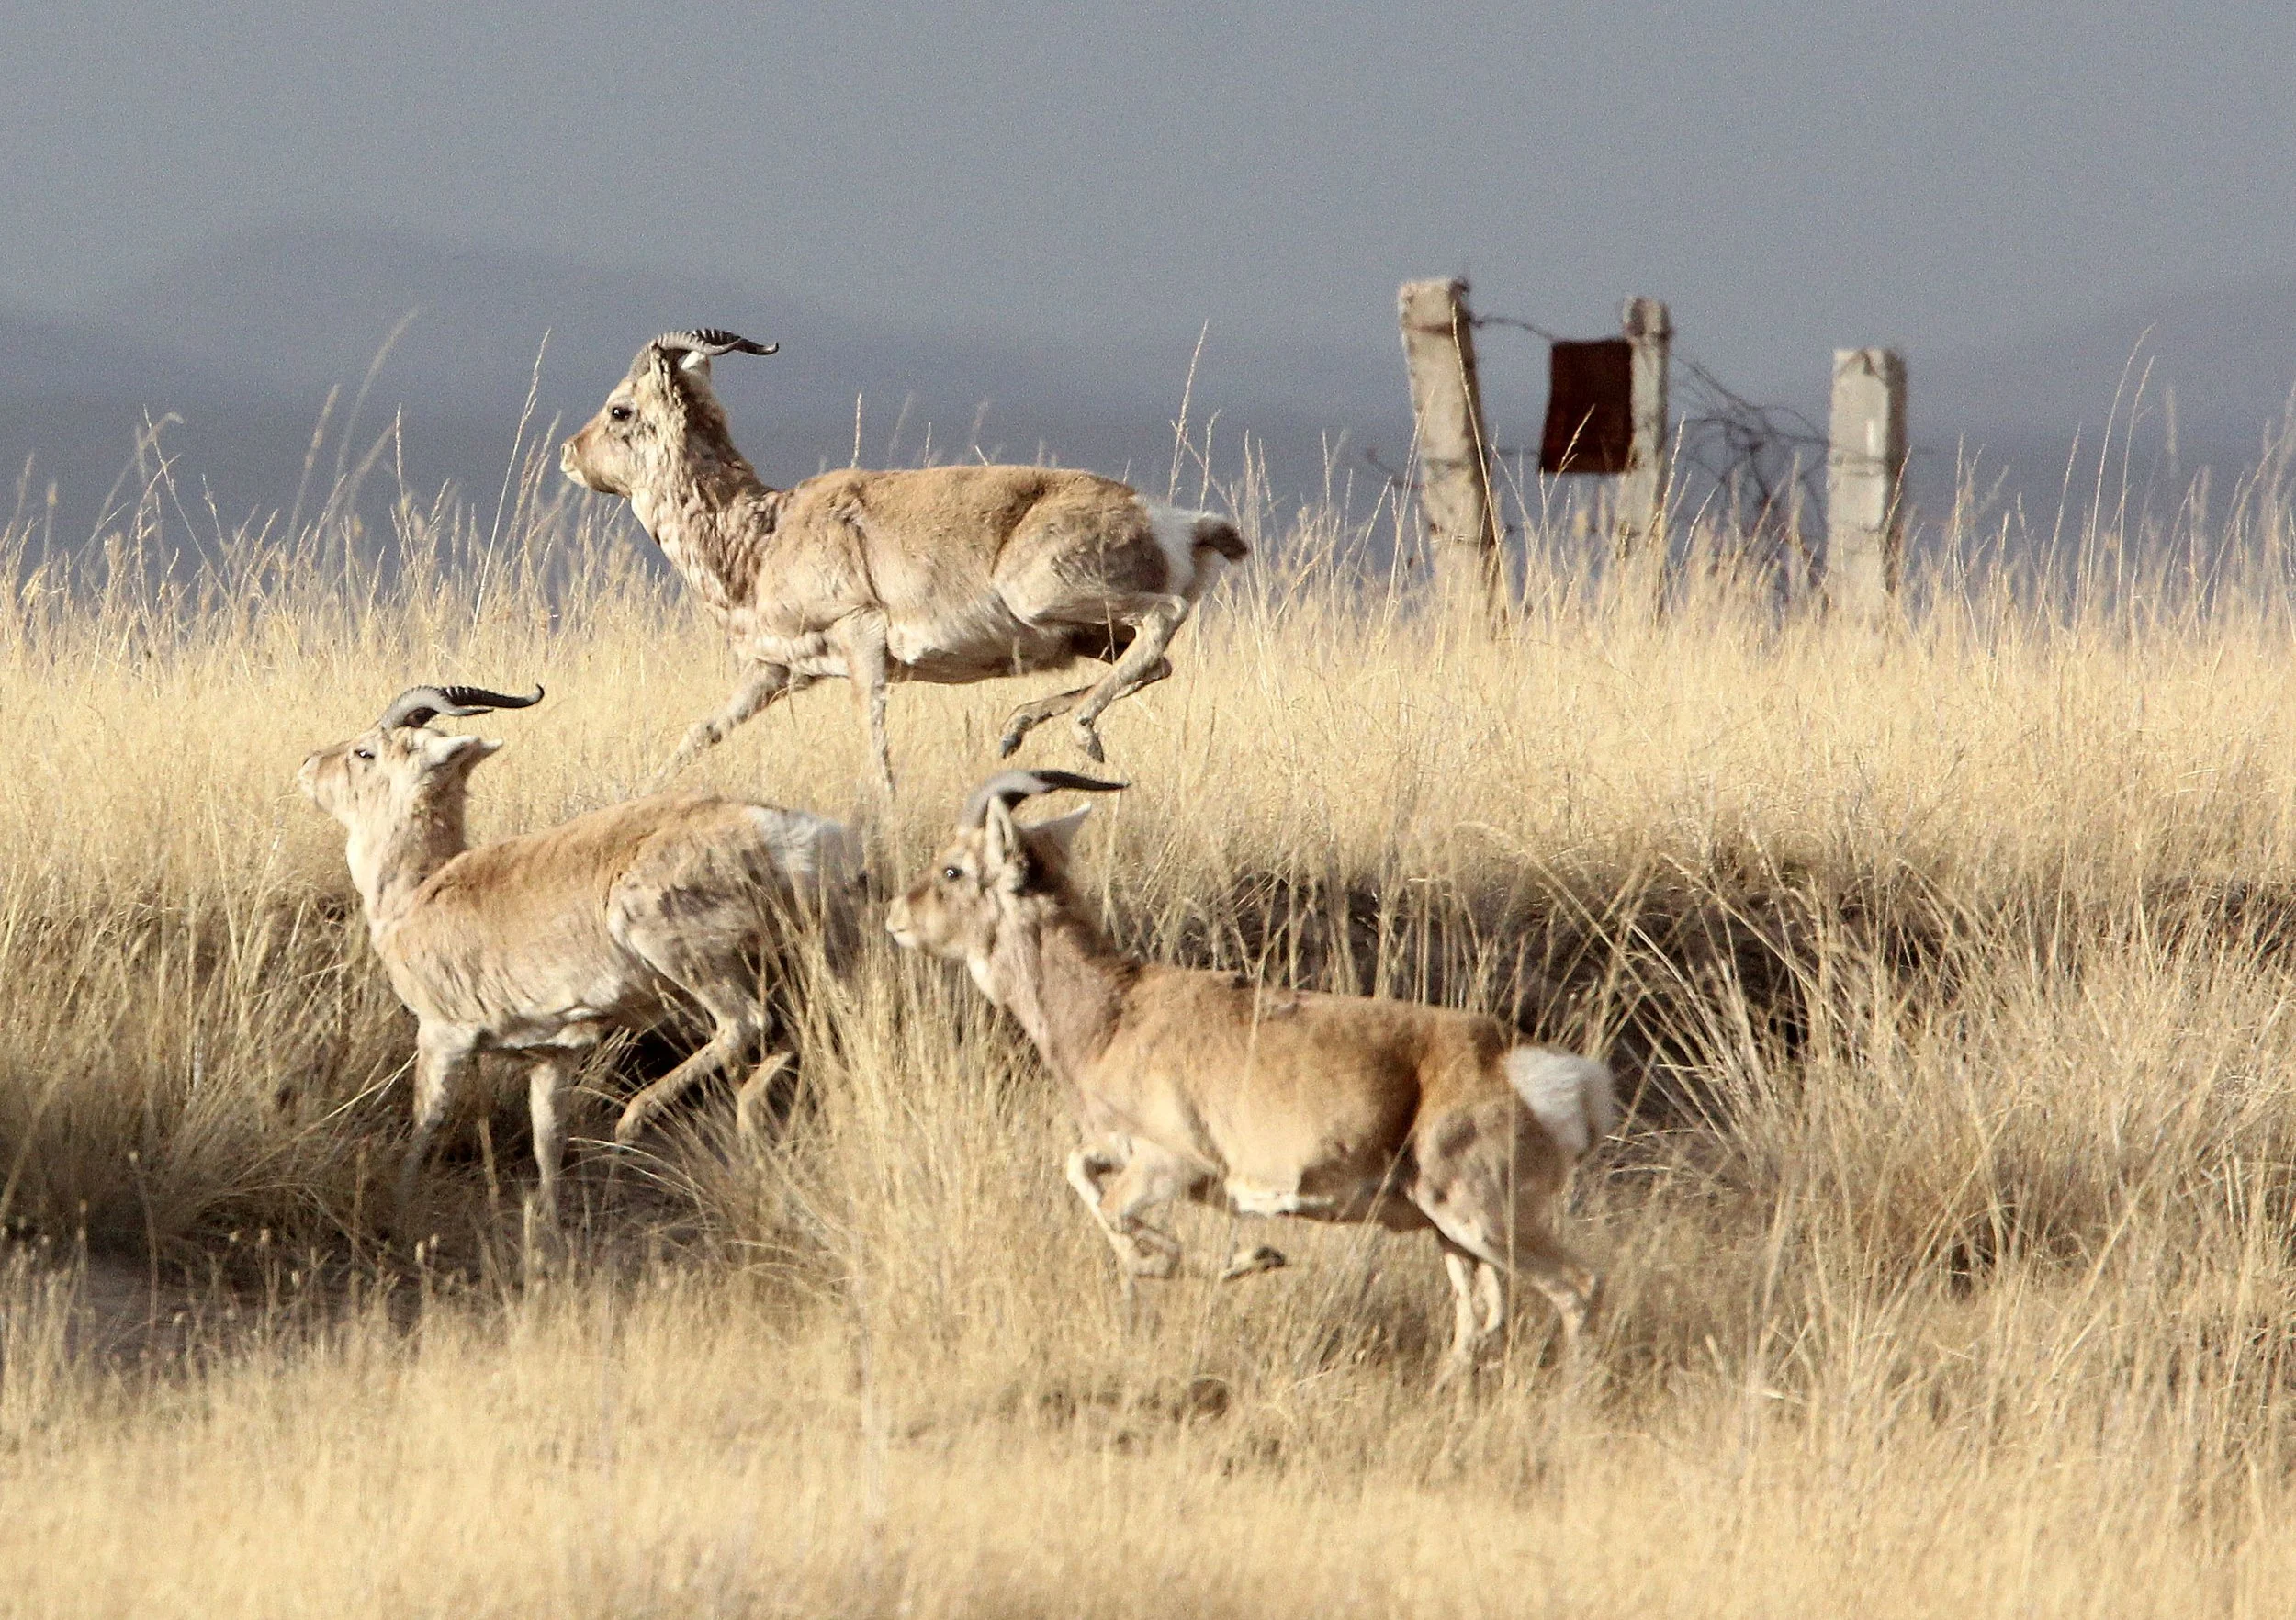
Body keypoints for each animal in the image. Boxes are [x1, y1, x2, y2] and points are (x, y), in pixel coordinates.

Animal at [559, 329, 1246, 793]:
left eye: (620, 407)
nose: (568, 453)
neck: (764, 534)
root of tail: (1174, 521)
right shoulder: (777, 671)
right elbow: (699, 732)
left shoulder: (861, 638)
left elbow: (873, 733)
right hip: (1085, 634)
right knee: (1155, 662)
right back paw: (1016, 728)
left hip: (1050, 600)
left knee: (1165, 616)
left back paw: (1081, 731)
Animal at [884, 770, 1618, 1381]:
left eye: (954, 867)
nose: (896, 919)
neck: (1120, 1009)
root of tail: (1545, 1074)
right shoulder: (1121, 1152)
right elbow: (1079, 1173)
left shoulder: (1170, 1166)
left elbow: (1122, 1220)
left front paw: (1245, 1257)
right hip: (1450, 1233)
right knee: (1482, 1319)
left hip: (1481, 1218)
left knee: (1578, 1288)